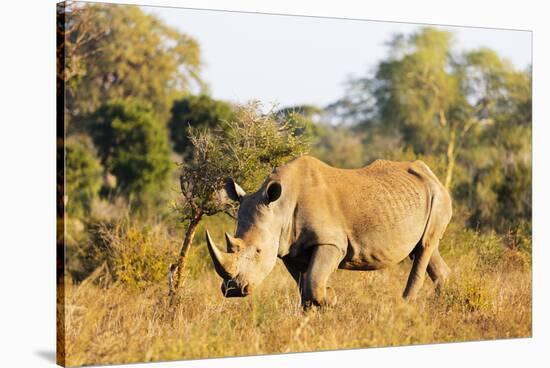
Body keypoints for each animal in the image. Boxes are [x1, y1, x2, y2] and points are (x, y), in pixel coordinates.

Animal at [207, 155, 452, 308]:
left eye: (258, 251)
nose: (233, 290)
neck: (280, 207)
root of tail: (432, 175)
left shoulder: (330, 242)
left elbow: (314, 281)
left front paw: (331, 297)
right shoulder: (289, 248)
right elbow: (303, 285)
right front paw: (310, 314)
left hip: (438, 196)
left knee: (424, 247)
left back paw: (405, 306)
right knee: (425, 250)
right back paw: (443, 301)